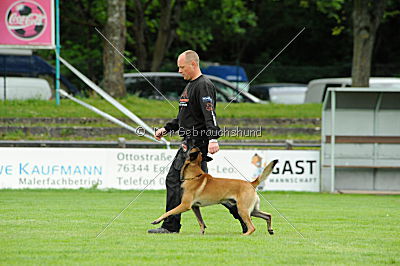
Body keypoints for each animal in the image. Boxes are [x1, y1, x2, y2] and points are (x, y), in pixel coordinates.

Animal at [150, 147, 278, 236]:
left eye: (191, 148)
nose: (183, 146)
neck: (194, 176)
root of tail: (251, 183)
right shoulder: (195, 207)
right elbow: (201, 221)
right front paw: (201, 233)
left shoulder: (185, 205)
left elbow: (169, 212)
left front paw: (156, 221)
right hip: (250, 210)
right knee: (268, 215)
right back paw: (270, 230)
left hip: (242, 209)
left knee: (252, 227)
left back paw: (244, 234)